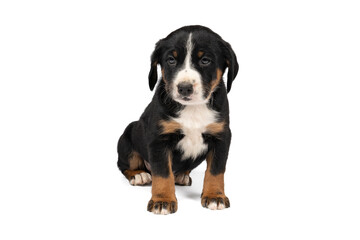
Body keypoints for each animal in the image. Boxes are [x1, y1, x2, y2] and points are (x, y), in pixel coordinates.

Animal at [116, 25, 238, 215]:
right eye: (171, 60)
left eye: (205, 60)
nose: (184, 88)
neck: (193, 108)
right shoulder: (159, 138)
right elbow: (162, 173)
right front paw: (163, 200)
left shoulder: (221, 136)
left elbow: (216, 171)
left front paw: (214, 196)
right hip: (128, 134)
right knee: (124, 164)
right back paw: (139, 175)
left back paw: (181, 175)